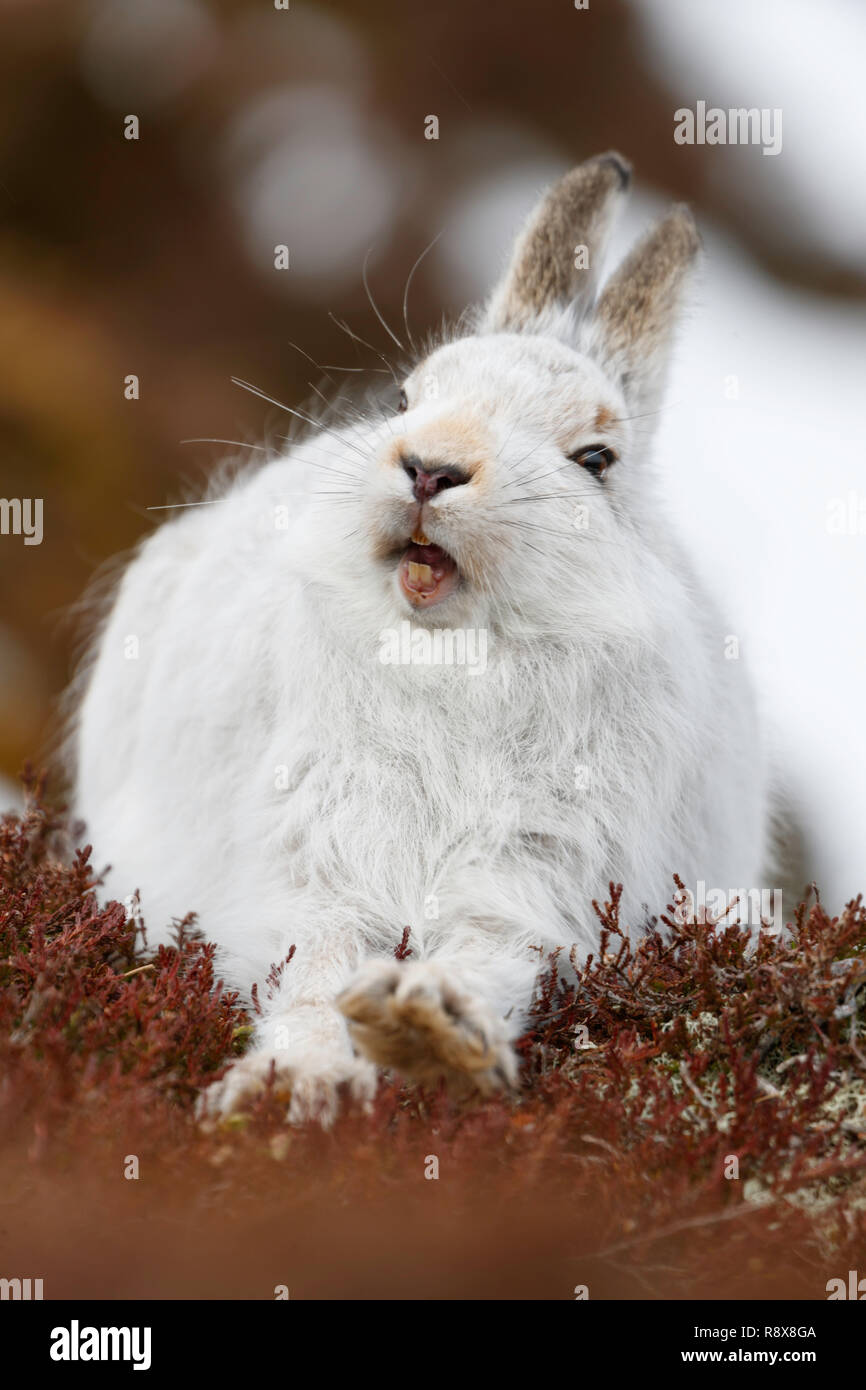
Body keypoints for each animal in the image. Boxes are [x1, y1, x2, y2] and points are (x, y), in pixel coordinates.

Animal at [71, 152, 770, 1125]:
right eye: (406, 397)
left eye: (596, 459)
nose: (430, 466)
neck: (449, 658)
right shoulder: (315, 860)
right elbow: (313, 969)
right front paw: (292, 1082)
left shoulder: (542, 876)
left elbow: (492, 958)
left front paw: (429, 1031)